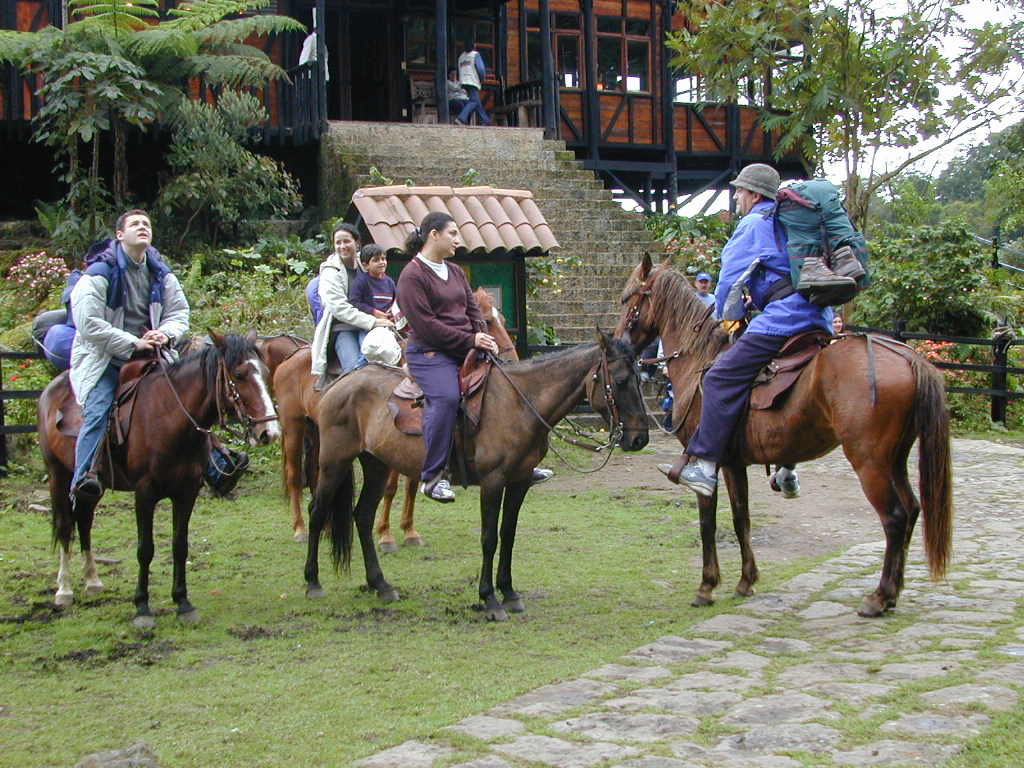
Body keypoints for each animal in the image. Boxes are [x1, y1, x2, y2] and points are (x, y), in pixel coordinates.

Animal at [37, 331, 280, 627]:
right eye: (239, 374)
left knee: (83, 520)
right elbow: (145, 549)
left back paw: (93, 581)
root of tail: (52, 387)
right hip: (57, 474)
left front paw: (183, 602)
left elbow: (180, 546)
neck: (169, 418)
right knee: (64, 525)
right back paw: (65, 588)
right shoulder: (145, 494)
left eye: (265, 372)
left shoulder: (187, 494)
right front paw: (142, 607)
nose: (269, 431)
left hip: (93, 485)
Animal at [272, 288, 517, 547]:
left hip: (319, 433)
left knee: (317, 473)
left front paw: (409, 531)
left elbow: (412, 484)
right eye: (487, 321)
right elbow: (391, 487)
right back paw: (300, 529)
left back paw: (327, 527)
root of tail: (290, 357)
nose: (513, 360)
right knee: (294, 476)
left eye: (504, 321)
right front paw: (386, 535)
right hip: (293, 425)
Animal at [305, 330, 650, 621]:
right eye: (620, 381)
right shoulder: (492, 482)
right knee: (318, 511)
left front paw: (508, 591)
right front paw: (490, 599)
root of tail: (340, 383)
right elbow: (488, 538)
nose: (639, 439)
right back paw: (313, 582)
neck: (519, 403)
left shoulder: (519, 482)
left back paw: (381, 584)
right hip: (334, 462)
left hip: (376, 465)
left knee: (362, 516)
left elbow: (508, 535)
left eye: (640, 379)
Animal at [615, 254, 953, 617]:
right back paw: (892, 594)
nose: (618, 343)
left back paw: (879, 596)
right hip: (895, 460)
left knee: (895, 518)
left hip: (870, 463)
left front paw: (707, 586)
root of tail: (909, 358)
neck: (699, 361)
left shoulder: (710, 460)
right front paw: (746, 580)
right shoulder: (734, 463)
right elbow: (741, 518)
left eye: (626, 299)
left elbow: (709, 523)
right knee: (913, 509)